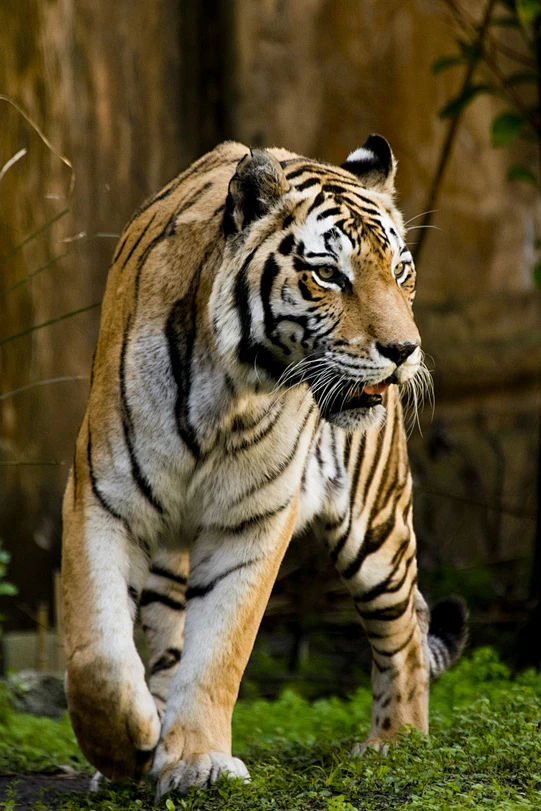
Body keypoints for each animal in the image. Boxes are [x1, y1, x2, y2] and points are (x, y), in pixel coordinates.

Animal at [61, 135, 467, 801]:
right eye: (328, 273)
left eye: (401, 271)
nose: (404, 351)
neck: (228, 393)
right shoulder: (102, 499)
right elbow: (97, 657)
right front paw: (129, 748)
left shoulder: (250, 520)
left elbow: (219, 652)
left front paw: (196, 762)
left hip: (375, 528)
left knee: (408, 626)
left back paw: (396, 742)